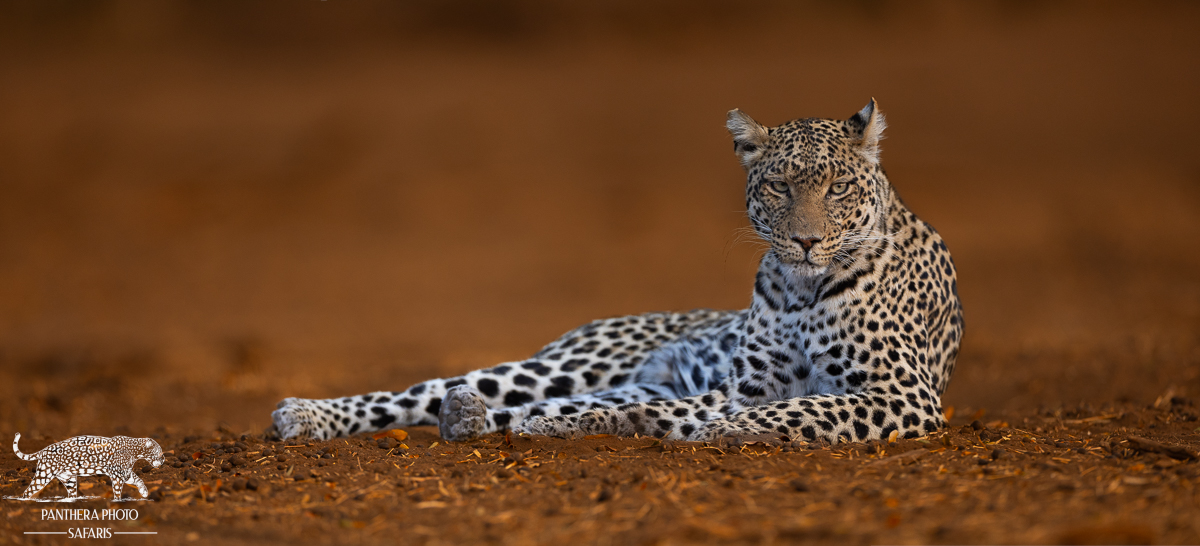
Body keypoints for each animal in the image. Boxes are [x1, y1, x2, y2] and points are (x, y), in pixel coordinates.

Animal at [12, 433, 165, 501]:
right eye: (159, 452)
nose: (164, 460)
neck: (135, 450)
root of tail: (43, 450)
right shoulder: (118, 475)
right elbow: (117, 491)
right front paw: (118, 501)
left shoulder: (125, 472)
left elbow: (139, 479)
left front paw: (144, 492)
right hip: (44, 474)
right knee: (28, 490)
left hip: (69, 479)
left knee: (71, 493)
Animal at [271, 99, 963, 445]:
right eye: (779, 186)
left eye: (839, 187)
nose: (807, 241)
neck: (801, 290)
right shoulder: (749, 386)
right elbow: (768, 408)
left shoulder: (902, 392)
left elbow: (797, 409)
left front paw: (719, 432)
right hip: (570, 362)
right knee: (426, 392)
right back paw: (306, 415)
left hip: (622, 379)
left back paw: (478, 419)